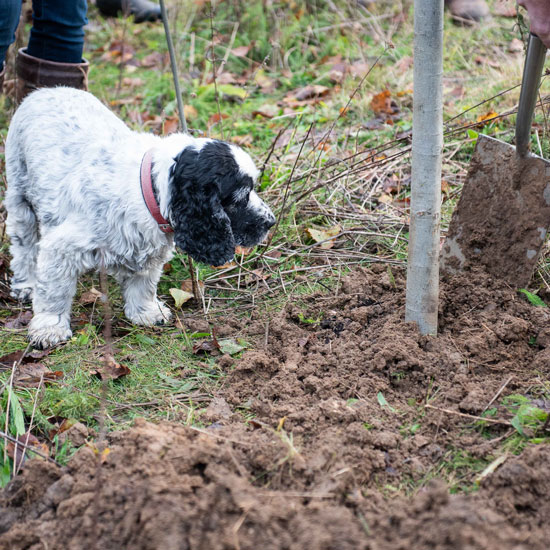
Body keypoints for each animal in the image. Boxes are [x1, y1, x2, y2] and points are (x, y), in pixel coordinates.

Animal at [5, 88, 276, 348]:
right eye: (241, 196)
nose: (271, 222)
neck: (149, 188)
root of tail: (43, 90)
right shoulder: (61, 249)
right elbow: (54, 293)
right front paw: (50, 329)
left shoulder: (147, 248)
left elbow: (143, 283)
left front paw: (146, 313)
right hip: (19, 196)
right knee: (24, 248)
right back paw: (25, 284)